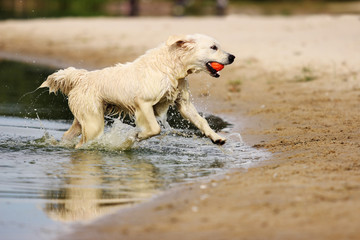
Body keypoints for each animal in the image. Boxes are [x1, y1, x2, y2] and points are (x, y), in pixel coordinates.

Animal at [39, 32, 235, 147]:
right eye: (214, 47)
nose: (232, 56)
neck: (172, 66)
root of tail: (81, 77)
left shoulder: (183, 103)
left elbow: (201, 121)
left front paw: (215, 137)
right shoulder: (143, 103)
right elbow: (155, 128)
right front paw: (137, 136)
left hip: (85, 118)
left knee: (68, 135)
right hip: (93, 121)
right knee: (82, 144)